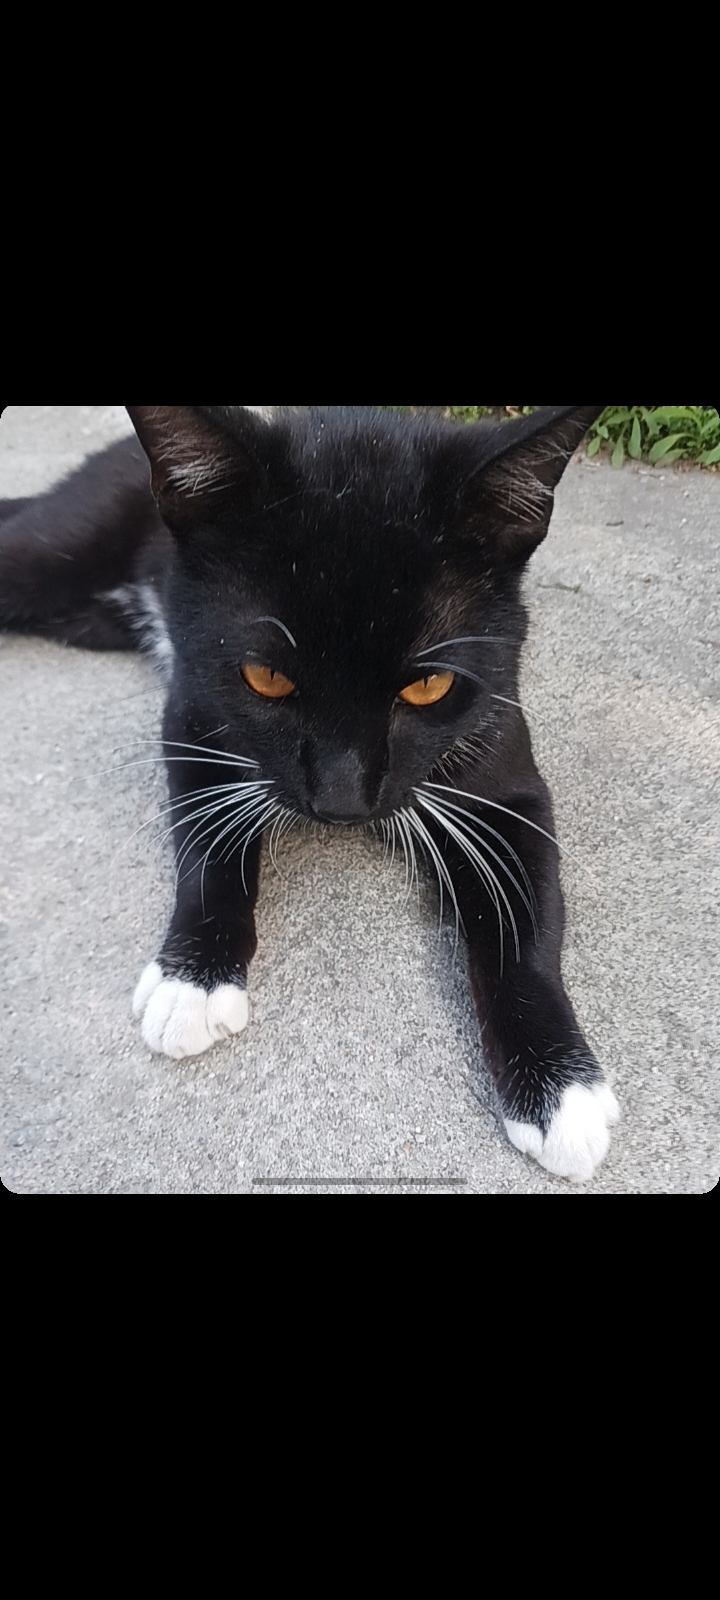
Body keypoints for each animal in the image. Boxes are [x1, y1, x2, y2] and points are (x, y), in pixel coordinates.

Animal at [0, 404, 620, 1181]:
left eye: (429, 686)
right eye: (265, 678)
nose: (342, 801)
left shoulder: (502, 769)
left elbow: (526, 926)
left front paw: (561, 1088)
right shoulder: (194, 712)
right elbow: (210, 846)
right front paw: (193, 980)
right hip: (62, 550)